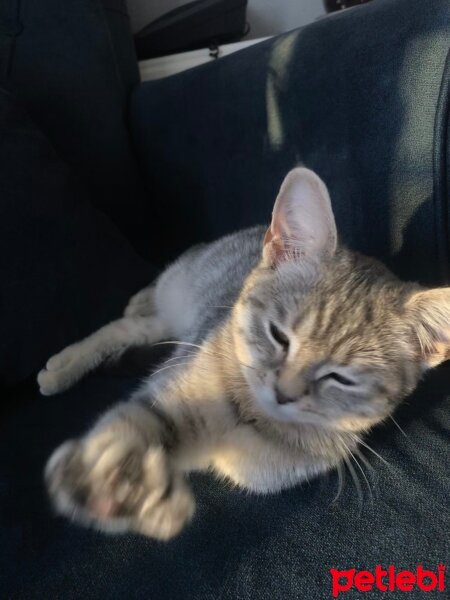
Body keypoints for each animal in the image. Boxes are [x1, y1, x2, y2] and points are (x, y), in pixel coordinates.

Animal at [39, 168, 450, 540]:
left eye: (341, 378)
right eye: (279, 336)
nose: (283, 393)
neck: (246, 416)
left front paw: (150, 501)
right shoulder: (172, 385)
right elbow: (131, 424)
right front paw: (111, 483)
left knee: (133, 329)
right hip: (182, 284)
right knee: (134, 315)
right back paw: (69, 359)